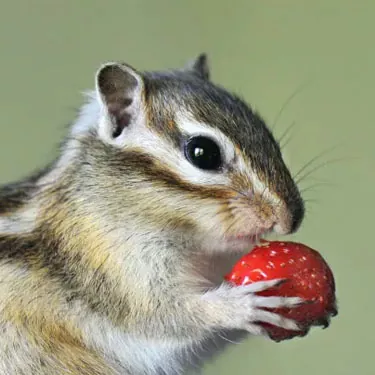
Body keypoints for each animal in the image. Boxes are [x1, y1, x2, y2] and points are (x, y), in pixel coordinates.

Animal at [0, 54, 306, 374]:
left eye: (267, 135)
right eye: (203, 153)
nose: (291, 218)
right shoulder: (111, 268)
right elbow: (163, 317)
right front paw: (240, 305)